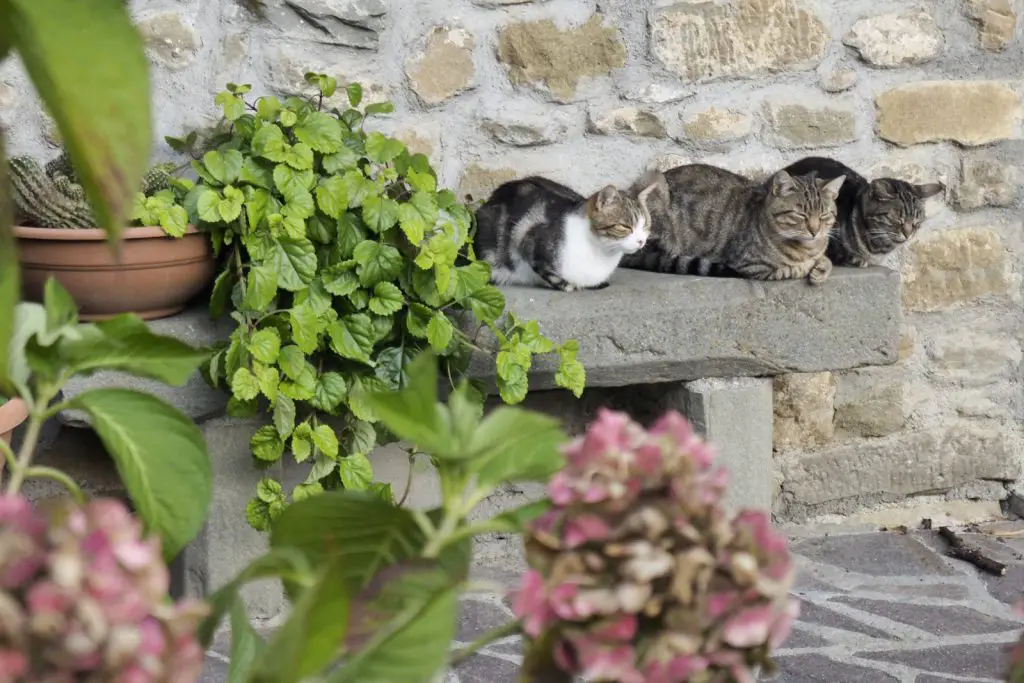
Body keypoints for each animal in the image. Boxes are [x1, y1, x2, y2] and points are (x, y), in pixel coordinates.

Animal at [622, 164, 847, 286]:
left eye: (824, 215)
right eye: (800, 214)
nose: (815, 231)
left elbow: (825, 260)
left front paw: (822, 267)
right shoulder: (750, 265)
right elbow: (791, 270)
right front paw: (810, 267)